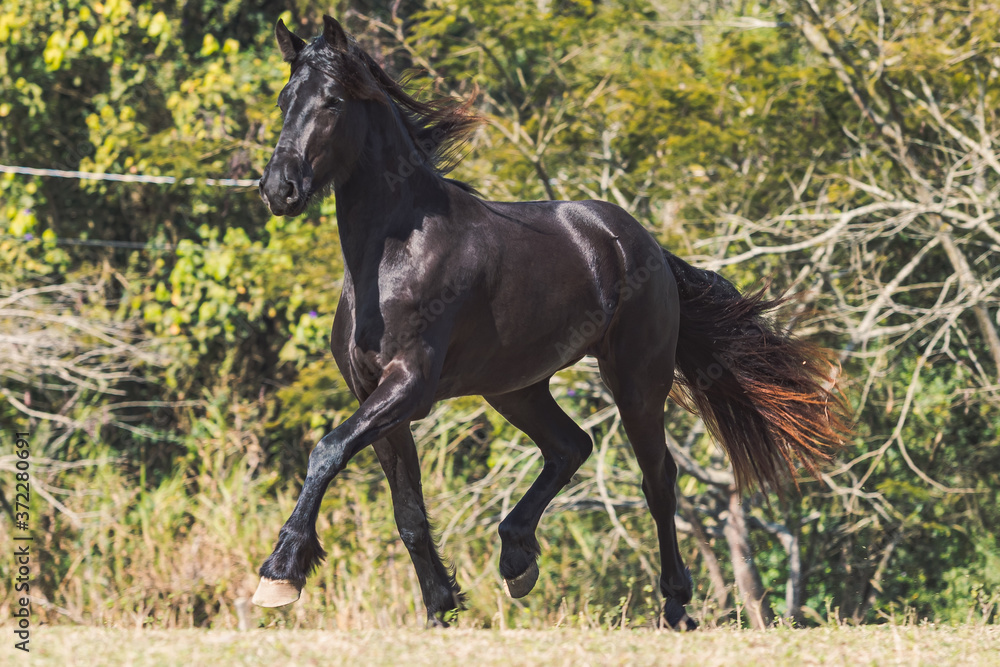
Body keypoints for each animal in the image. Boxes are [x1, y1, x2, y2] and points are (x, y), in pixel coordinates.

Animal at [252, 15, 845, 630]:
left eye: (333, 100)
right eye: (284, 100)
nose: (278, 188)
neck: (395, 255)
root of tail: (644, 243)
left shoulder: (409, 387)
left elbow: (327, 450)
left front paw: (280, 573)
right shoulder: (375, 397)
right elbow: (407, 513)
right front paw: (441, 609)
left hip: (636, 381)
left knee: (657, 480)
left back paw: (675, 603)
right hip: (515, 388)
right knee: (571, 447)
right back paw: (517, 558)